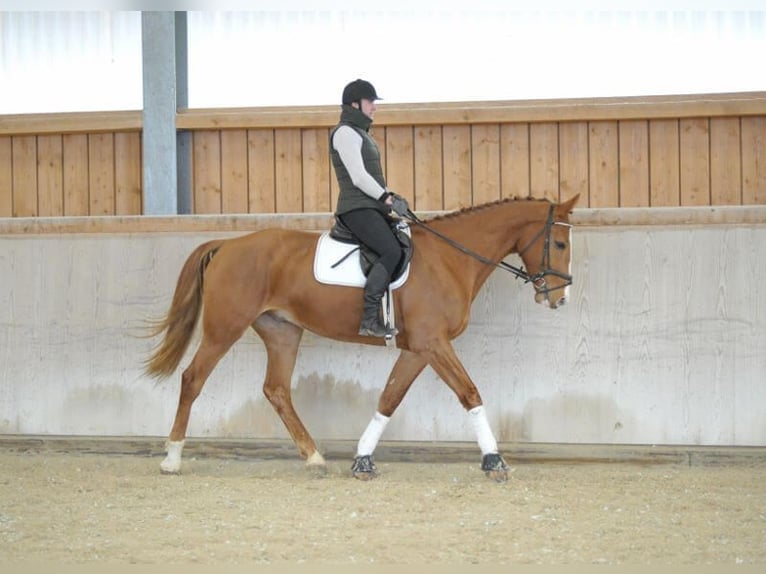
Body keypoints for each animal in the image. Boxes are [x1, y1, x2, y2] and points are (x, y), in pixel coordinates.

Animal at [144, 196, 580, 484]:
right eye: (559, 243)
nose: (559, 298)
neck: (449, 259)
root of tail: (228, 245)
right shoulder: (433, 344)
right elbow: (469, 393)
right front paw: (494, 461)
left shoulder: (419, 349)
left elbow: (389, 398)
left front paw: (362, 460)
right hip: (225, 328)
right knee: (193, 379)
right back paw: (172, 459)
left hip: (282, 332)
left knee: (276, 390)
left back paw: (315, 458)